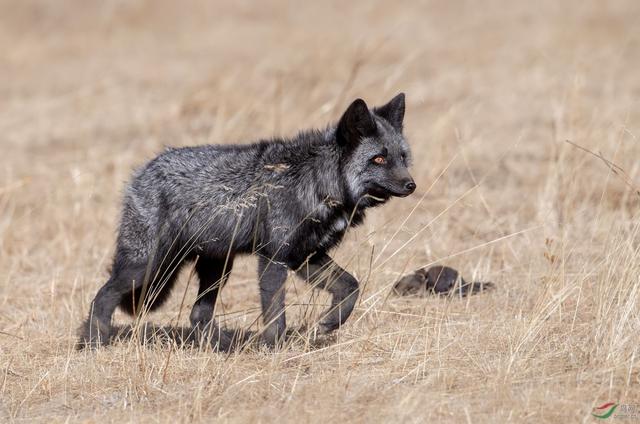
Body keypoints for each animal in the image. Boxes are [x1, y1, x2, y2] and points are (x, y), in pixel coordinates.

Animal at [79, 92, 416, 348]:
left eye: (402, 157)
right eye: (378, 159)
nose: (412, 185)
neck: (318, 184)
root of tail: (143, 170)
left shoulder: (306, 256)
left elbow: (350, 288)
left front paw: (329, 323)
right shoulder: (273, 259)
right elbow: (276, 315)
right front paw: (275, 349)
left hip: (216, 269)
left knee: (198, 316)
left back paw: (224, 348)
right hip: (147, 266)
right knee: (102, 297)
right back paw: (93, 342)